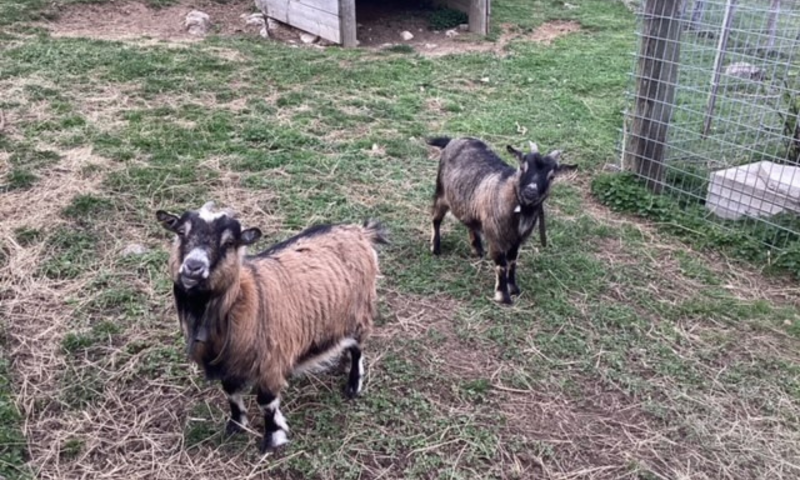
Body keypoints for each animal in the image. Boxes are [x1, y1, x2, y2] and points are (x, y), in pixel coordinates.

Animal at [155, 203, 388, 454]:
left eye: (229, 242)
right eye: (181, 232)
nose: (193, 268)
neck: (242, 300)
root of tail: (361, 232)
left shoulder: (270, 361)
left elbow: (266, 403)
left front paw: (272, 439)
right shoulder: (227, 364)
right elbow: (231, 393)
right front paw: (236, 425)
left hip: (361, 311)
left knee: (358, 348)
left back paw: (353, 384)